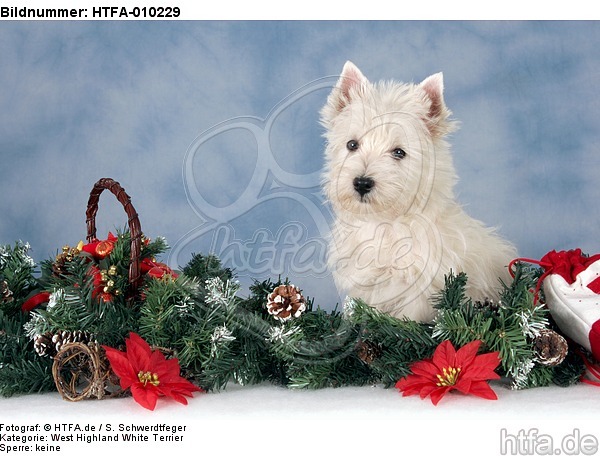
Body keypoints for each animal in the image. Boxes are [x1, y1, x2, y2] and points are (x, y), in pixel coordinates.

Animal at [322, 61, 516, 324]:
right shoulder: (364, 282)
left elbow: (407, 321)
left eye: (399, 152)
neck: (385, 221)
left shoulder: (419, 288)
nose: (361, 183)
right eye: (352, 144)